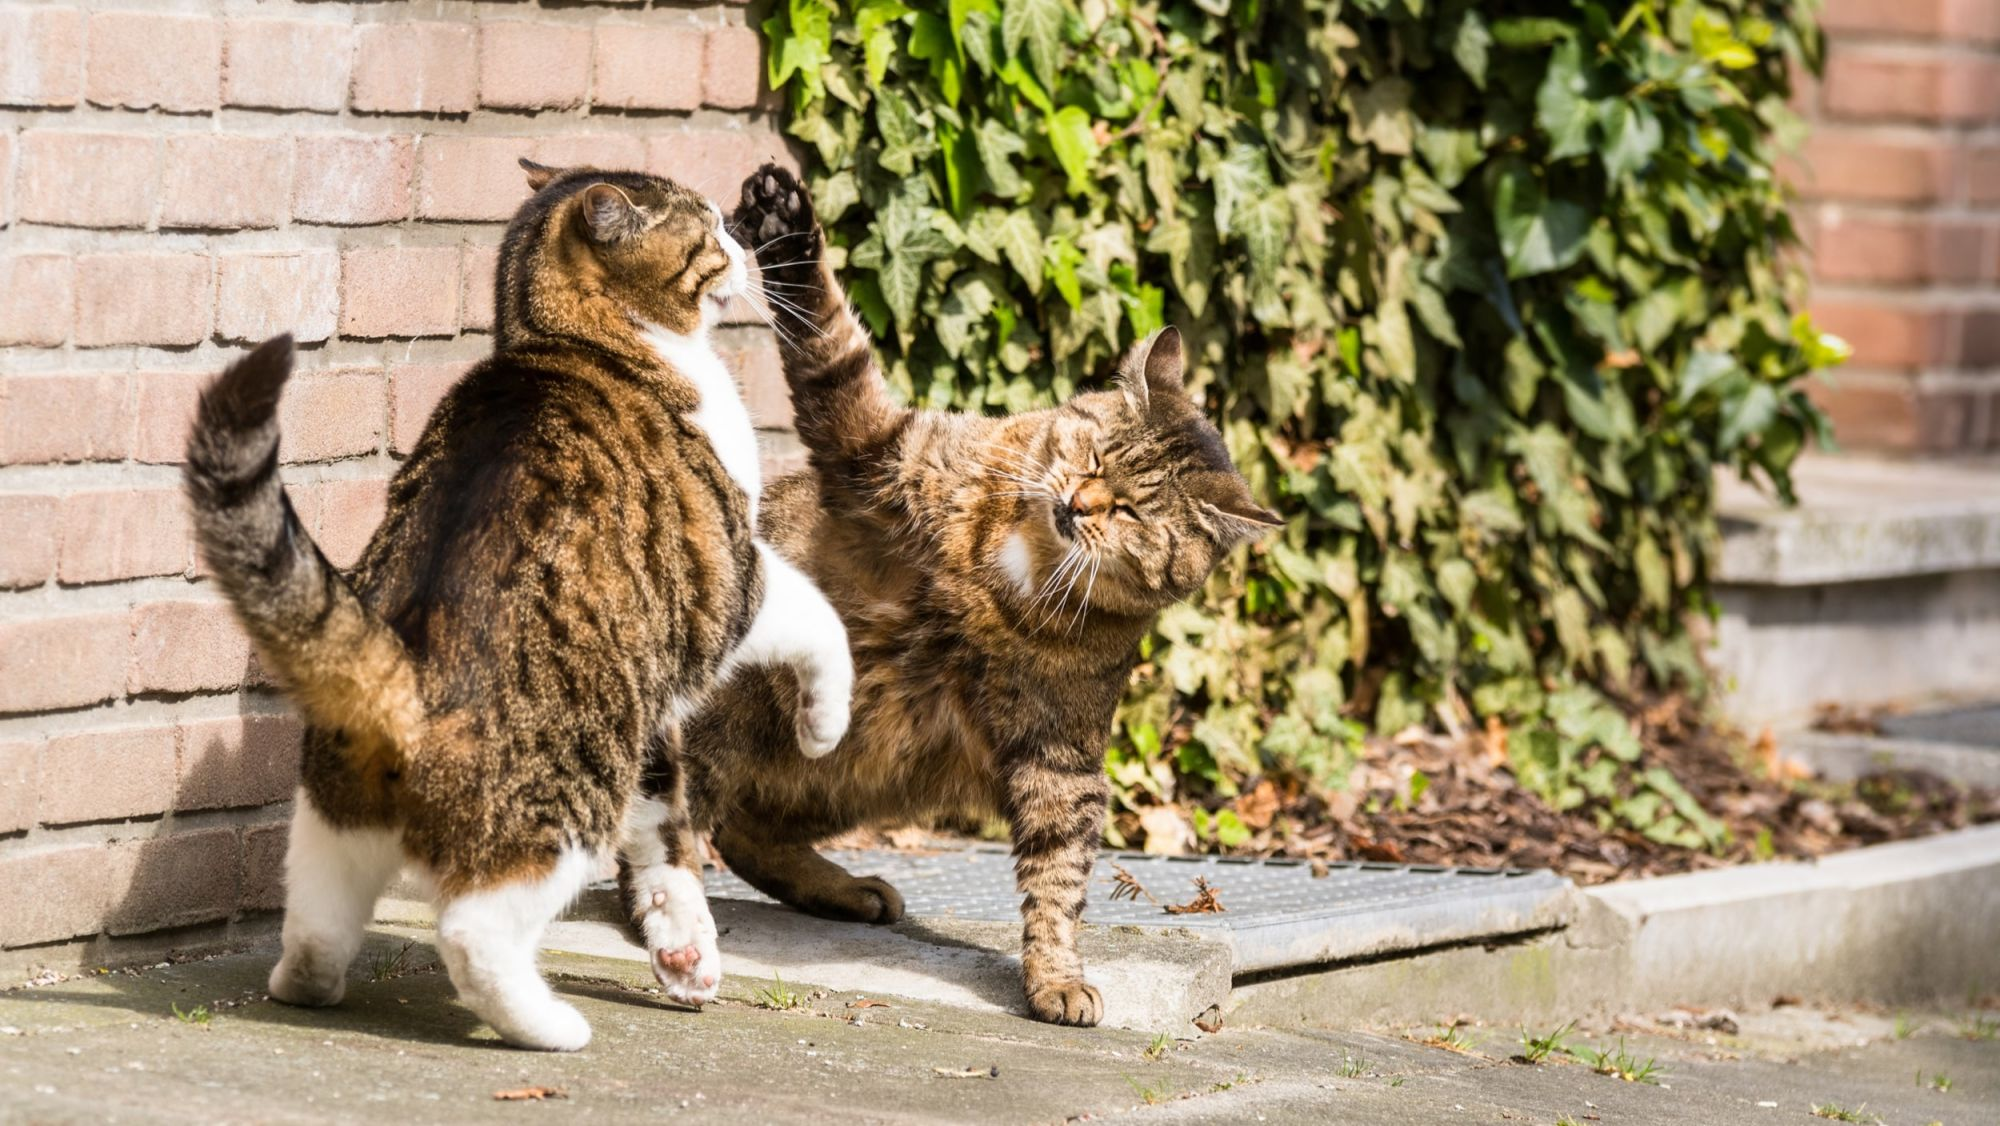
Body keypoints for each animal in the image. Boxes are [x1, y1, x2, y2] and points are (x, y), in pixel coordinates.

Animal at [178, 163, 852, 1056]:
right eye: (708, 228)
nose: (744, 241)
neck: (577, 341)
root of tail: (400, 673)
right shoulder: (732, 578)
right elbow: (821, 620)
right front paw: (824, 724)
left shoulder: (648, 703)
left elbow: (662, 825)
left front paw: (684, 949)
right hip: (565, 807)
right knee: (475, 931)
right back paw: (547, 1025)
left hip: (335, 813)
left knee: (319, 913)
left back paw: (307, 982)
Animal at [656, 170, 1280, 1032]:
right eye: (1094, 455)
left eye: (1135, 511)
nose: (1080, 503)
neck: (1015, 567)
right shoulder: (876, 449)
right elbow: (831, 341)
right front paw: (787, 223)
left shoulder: (1060, 755)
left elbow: (1059, 878)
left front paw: (1056, 977)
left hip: (855, 762)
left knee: (744, 828)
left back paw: (845, 889)